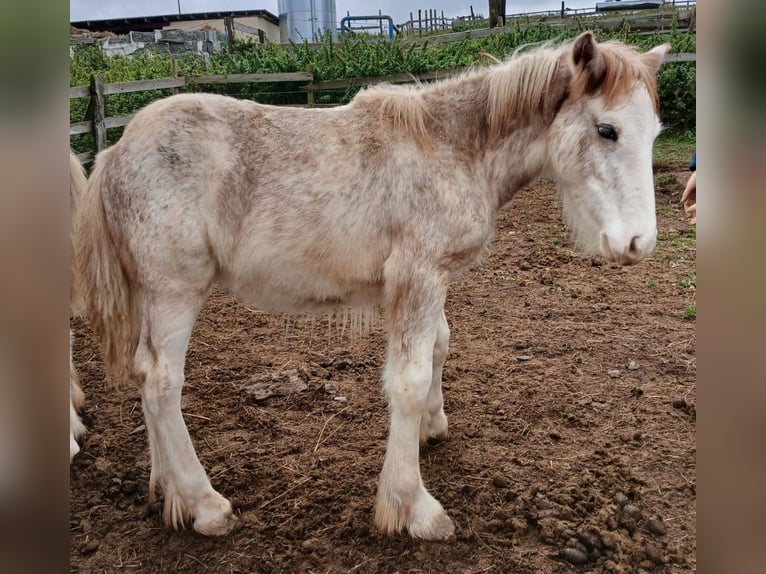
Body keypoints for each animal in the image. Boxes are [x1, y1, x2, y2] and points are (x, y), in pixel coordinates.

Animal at [73, 33, 672, 540]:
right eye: (607, 130)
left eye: (655, 134)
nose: (639, 242)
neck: (453, 148)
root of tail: (114, 153)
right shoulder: (416, 276)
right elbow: (408, 379)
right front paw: (412, 506)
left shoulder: (432, 280)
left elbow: (439, 348)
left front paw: (433, 425)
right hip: (174, 292)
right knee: (161, 382)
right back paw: (203, 504)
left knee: (145, 376)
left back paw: (166, 488)